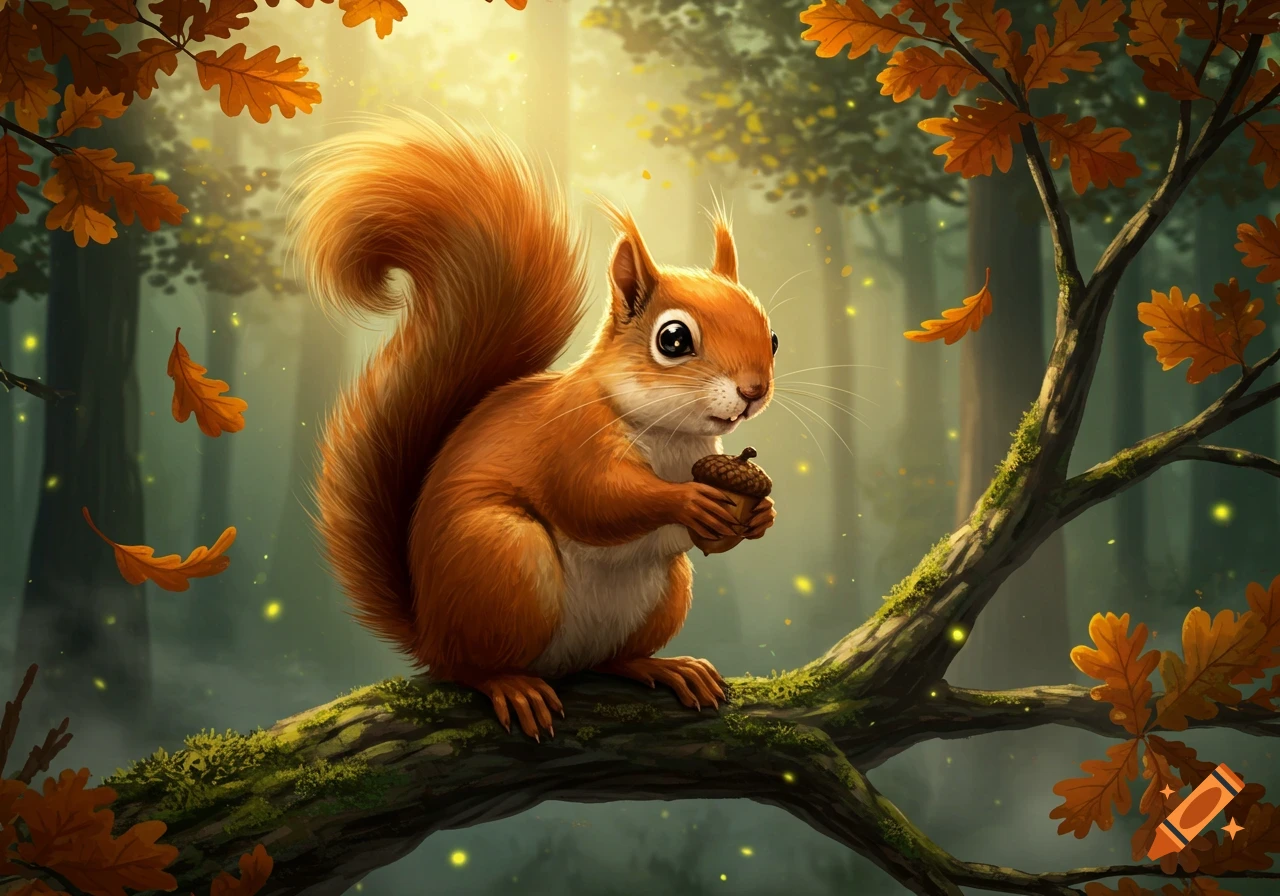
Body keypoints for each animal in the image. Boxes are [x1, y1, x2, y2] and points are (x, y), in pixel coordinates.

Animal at [287, 115, 778, 740]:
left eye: (772, 337)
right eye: (673, 339)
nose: (753, 391)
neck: (670, 434)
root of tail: (428, 631)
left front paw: (759, 516)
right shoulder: (570, 440)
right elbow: (592, 499)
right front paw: (689, 499)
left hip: (666, 592)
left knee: (612, 659)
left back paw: (663, 666)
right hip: (503, 556)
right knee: (469, 668)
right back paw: (510, 685)